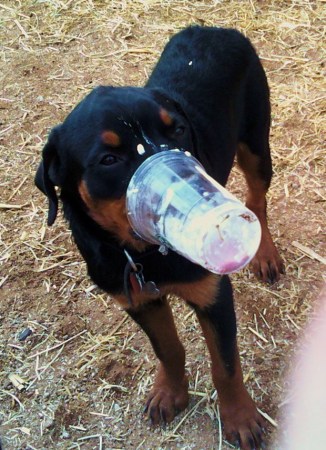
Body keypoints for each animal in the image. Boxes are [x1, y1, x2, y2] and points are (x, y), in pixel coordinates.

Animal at [36, 25, 282, 450]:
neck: (147, 253)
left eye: (178, 129)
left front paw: (240, 418)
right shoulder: (136, 298)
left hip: (255, 142)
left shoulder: (213, 293)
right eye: (108, 159)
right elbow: (167, 348)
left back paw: (263, 251)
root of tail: (215, 28)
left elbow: (225, 365)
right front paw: (170, 392)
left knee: (257, 198)